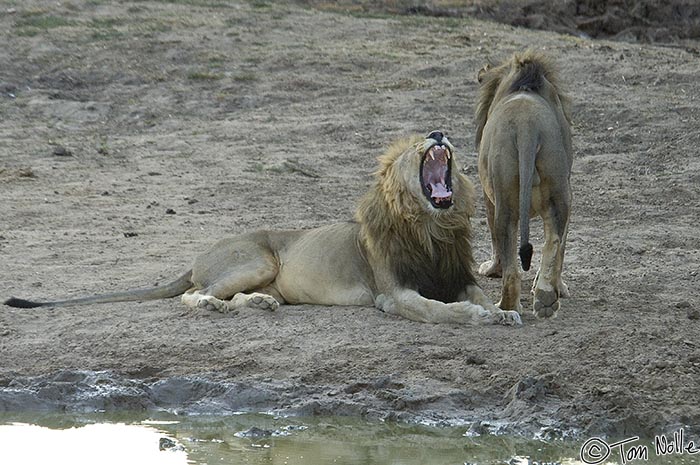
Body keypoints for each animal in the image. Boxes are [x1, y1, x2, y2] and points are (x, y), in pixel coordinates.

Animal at [474, 51, 572, 320]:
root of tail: (527, 127)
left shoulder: (488, 195)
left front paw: (490, 269)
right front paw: (560, 288)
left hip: (505, 194)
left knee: (509, 257)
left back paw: (508, 306)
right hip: (561, 191)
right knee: (555, 240)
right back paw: (546, 298)